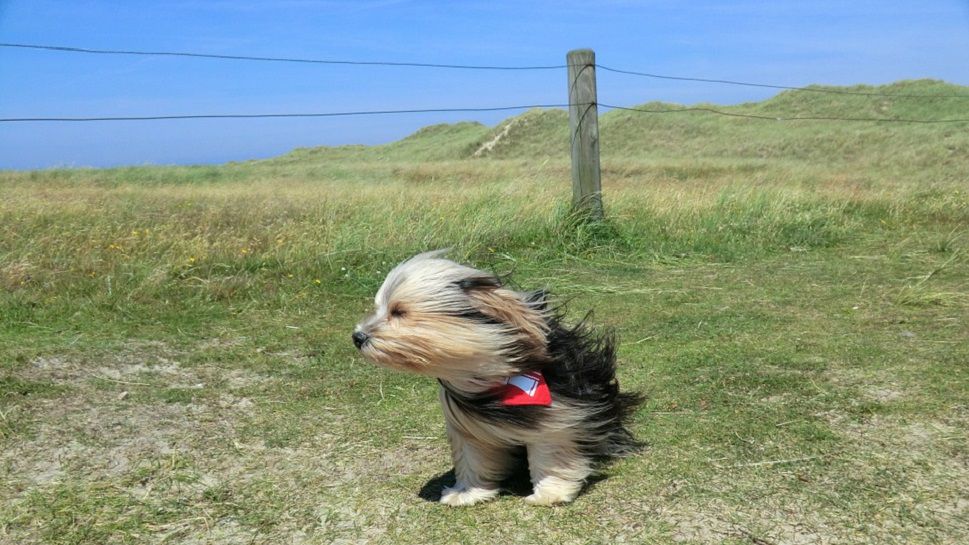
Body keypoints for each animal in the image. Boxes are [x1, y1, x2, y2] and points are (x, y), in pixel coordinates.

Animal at [352, 251, 640, 506]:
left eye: (398, 311)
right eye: (379, 309)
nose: (357, 337)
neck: (492, 374)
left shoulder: (559, 414)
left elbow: (551, 452)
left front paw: (550, 493)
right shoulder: (467, 427)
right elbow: (472, 457)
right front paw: (467, 493)